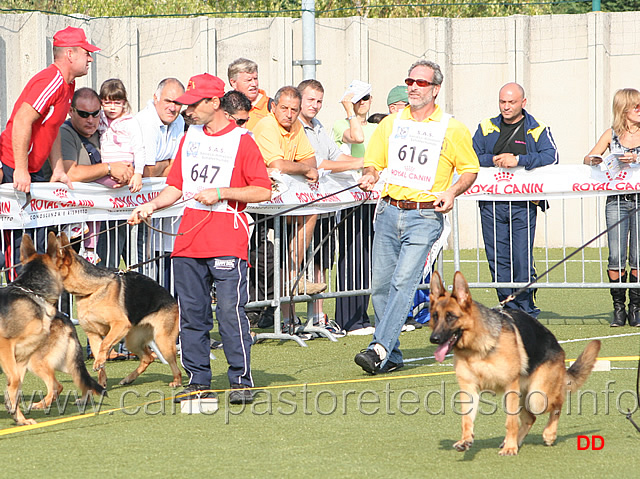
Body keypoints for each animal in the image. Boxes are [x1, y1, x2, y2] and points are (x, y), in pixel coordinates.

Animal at [0, 234, 103, 426]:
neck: (33, 292)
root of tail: (67, 320)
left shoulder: (20, 358)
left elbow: (15, 385)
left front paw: (18, 417)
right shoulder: (10, 351)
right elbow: (15, 386)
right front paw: (19, 417)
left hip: (38, 362)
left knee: (59, 385)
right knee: (74, 382)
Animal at [55, 232, 181, 390]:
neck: (91, 290)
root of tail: (171, 298)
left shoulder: (119, 325)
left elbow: (105, 344)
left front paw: (99, 363)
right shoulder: (93, 334)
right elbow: (100, 354)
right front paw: (101, 380)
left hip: (162, 342)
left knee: (174, 364)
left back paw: (177, 381)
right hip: (133, 341)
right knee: (148, 358)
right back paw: (128, 379)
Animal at [430, 272, 600, 456]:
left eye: (450, 317)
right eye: (435, 316)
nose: (434, 339)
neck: (477, 348)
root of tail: (558, 346)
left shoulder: (510, 386)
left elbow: (510, 422)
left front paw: (510, 447)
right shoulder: (469, 389)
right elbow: (466, 419)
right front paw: (466, 440)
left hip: (538, 397)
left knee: (557, 404)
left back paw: (548, 434)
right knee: (530, 417)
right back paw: (515, 441)